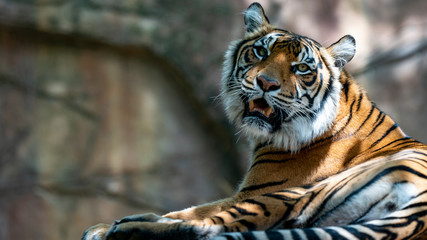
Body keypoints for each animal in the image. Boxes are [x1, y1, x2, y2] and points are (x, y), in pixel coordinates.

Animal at [82, 2, 427, 240]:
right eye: (261, 52)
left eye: (302, 68)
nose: (266, 83)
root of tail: (419, 212)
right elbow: (188, 209)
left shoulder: (253, 191)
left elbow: (196, 210)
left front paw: (108, 225)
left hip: (293, 195)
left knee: (210, 228)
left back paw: (124, 229)